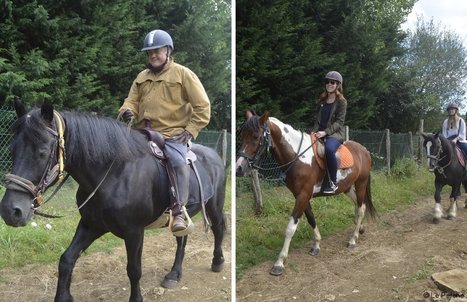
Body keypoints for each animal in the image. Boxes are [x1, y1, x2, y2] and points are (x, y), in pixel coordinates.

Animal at [0, 100, 227, 300]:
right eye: (12, 149)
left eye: (43, 152)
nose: (11, 211)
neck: (113, 174)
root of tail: (214, 155)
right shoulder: (92, 224)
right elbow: (66, 260)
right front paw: (64, 296)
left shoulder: (134, 232)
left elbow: (134, 270)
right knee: (182, 240)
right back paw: (174, 274)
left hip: (214, 206)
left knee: (218, 228)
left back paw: (217, 262)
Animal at [236, 111, 378, 276]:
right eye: (243, 135)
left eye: (255, 136)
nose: (239, 168)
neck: (298, 158)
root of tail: (364, 150)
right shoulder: (301, 195)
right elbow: (311, 218)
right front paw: (316, 245)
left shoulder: (303, 195)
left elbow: (291, 227)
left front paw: (279, 263)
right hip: (347, 187)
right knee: (359, 204)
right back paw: (360, 228)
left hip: (361, 183)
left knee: (361, 208)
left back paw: (353, 240)